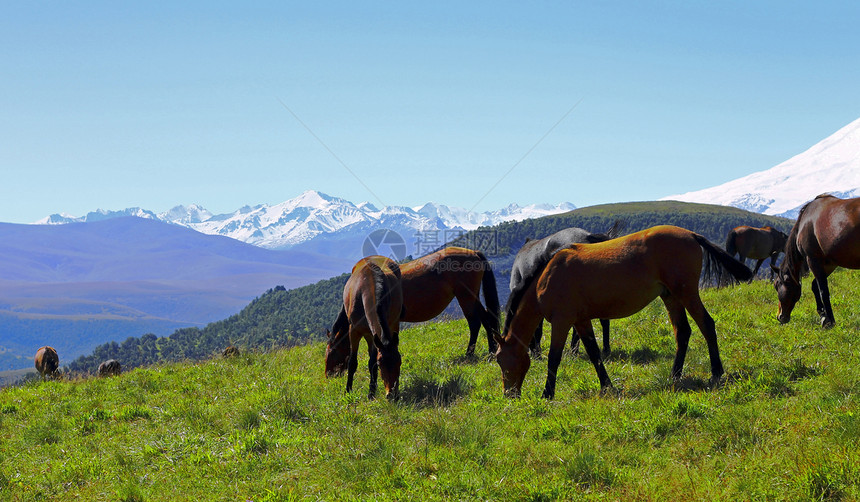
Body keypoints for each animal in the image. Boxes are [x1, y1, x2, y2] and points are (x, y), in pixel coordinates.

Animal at [326, 245, 500, 378]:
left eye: (331, 351)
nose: (329, 375)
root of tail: (473, 252)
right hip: (471, 297)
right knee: (484, 319)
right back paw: (488, 350)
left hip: (466, 297)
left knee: (476, 322)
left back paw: (475, 353)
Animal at [326, 255, 404, 400]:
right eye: (381, 364)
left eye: (399, 362)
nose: (392, 395)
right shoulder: (355, 332)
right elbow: (353, 362)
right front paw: (348, 390)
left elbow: (371, 363)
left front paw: (371, 392)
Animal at [772, 194, 860, 328]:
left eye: (777, 285)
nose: (780, 317)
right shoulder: (829, 263)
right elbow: (815, 286)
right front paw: (823, 316)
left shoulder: (813, 259)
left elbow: (823, 291)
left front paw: (830, 321)